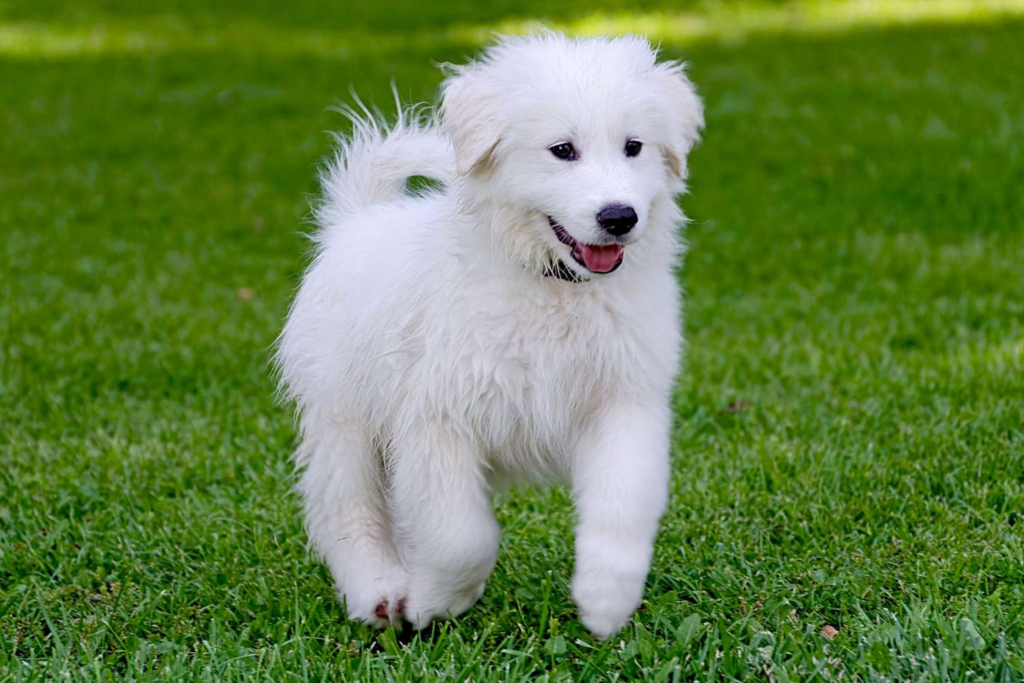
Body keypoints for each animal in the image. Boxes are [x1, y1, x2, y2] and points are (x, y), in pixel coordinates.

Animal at [276, 31, 700, 643]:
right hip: (344, 416)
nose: (619, 217)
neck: (551, 287)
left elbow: (624, 501)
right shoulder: (436, 418)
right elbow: (460, 536)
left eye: (634, 147)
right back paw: (379, 591)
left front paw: (606, 599)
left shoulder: (625, 400)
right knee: (349, 510)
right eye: (563, 150)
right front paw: (432, 602)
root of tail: (357, 219)